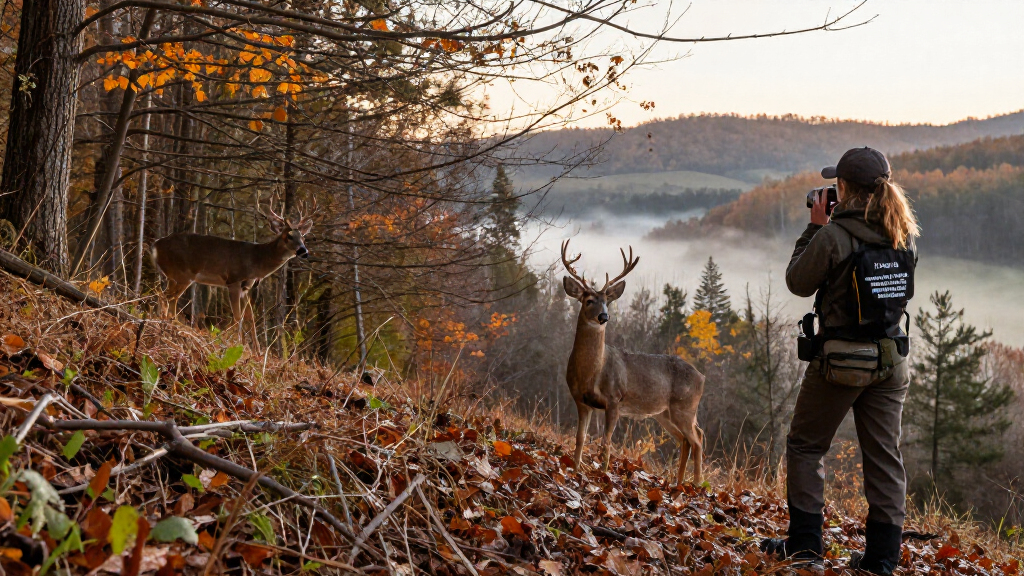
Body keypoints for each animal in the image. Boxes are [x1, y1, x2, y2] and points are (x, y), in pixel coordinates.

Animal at [151, 200, 314, 329]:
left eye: (303, 237)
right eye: (289, 236)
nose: (304, 251)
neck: (256, 260)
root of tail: (156, 245)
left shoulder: (246, 287)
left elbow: (248, 318)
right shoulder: (234, 280)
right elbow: (237, 318)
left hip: (173, 276)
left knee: (167, 296)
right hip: (181, 274)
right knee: (166, 296)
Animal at [561, 239, 705, 484]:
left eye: (607, 302)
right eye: (588, 300)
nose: (604, 317)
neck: (592, 372)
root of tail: (702, 376)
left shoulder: (614, 399)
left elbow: (606, 441)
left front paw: (603, 473)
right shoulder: (580, 400)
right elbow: (580, 437)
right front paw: (575, 469)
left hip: (685, 406)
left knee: (697, 439)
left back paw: (695, 485)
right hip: (664, 413)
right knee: (687, 439)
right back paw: (678, 484)